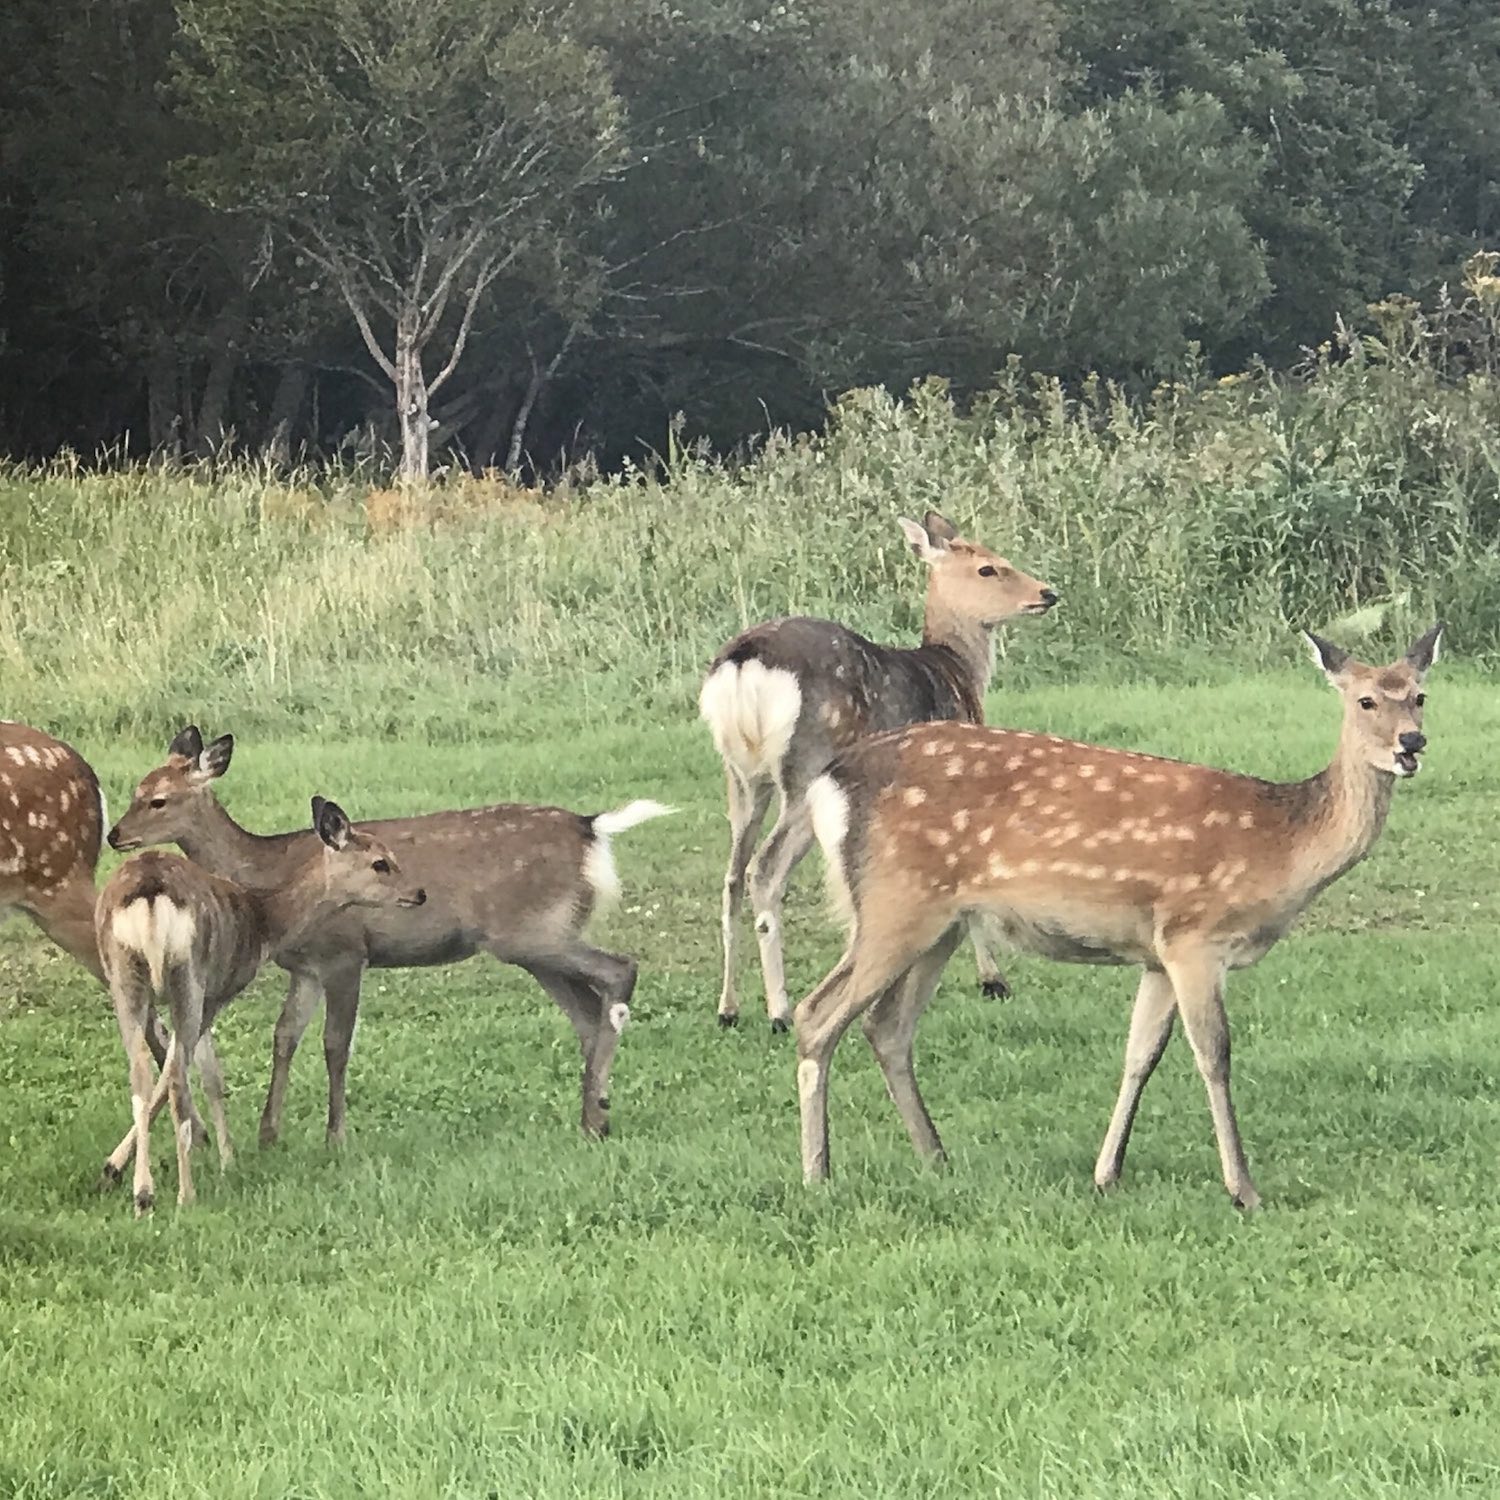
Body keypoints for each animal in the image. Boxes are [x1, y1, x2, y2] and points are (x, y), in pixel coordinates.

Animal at [97, 804, 429, 1212]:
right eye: (380, 862)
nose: (419, 893)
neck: (263, 923)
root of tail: (148, 891)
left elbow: (199, 1071)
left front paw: (113, 1168)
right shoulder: (217, 992)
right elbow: (207, 1075)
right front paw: (228, 1160)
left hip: (123, 974)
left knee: (139, 1067)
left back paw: (143, 1193)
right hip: (187, 975)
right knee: (175, 1078)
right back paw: (182, 1194)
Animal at [114, 729, 678, 1146]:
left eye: (158, 799)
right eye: (134, 789)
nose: (116, 835)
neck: (269, 875)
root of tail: (593, 830)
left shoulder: (346, 953)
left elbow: (334, 1044)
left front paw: (336, 1137)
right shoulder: (306, 967)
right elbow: (284, 1038)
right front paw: (268, 1134)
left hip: (534, 934)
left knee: (620, 970)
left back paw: (597, 1110)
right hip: (538, 943)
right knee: (586, 1012)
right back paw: (594, 1116)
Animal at [699, 513, 1056, 1032]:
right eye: (989, 568)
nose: (1048, 593)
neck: (957, 673)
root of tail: (744, 664)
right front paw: (993, 980)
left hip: (741, 777)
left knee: (731, 875)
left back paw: (728, 1007)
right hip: (807, 766)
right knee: (765, 868)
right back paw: (779, 1010)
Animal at [798, 624, 1440, 1206]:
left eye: (1419, 695)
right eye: (1365, 700)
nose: (1411, 744)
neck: (1281, 848)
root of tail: (828, 783)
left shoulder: (1157, 952)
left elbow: (1140, 1054)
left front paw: (1107, 1173)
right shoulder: (1195, 936)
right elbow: (1214, 1054)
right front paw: (1243, 1189)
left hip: (941, 922)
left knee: (886, 1026)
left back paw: (937, 1158)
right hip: (896, 902)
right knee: (817, 1014)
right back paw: (818, 1172)